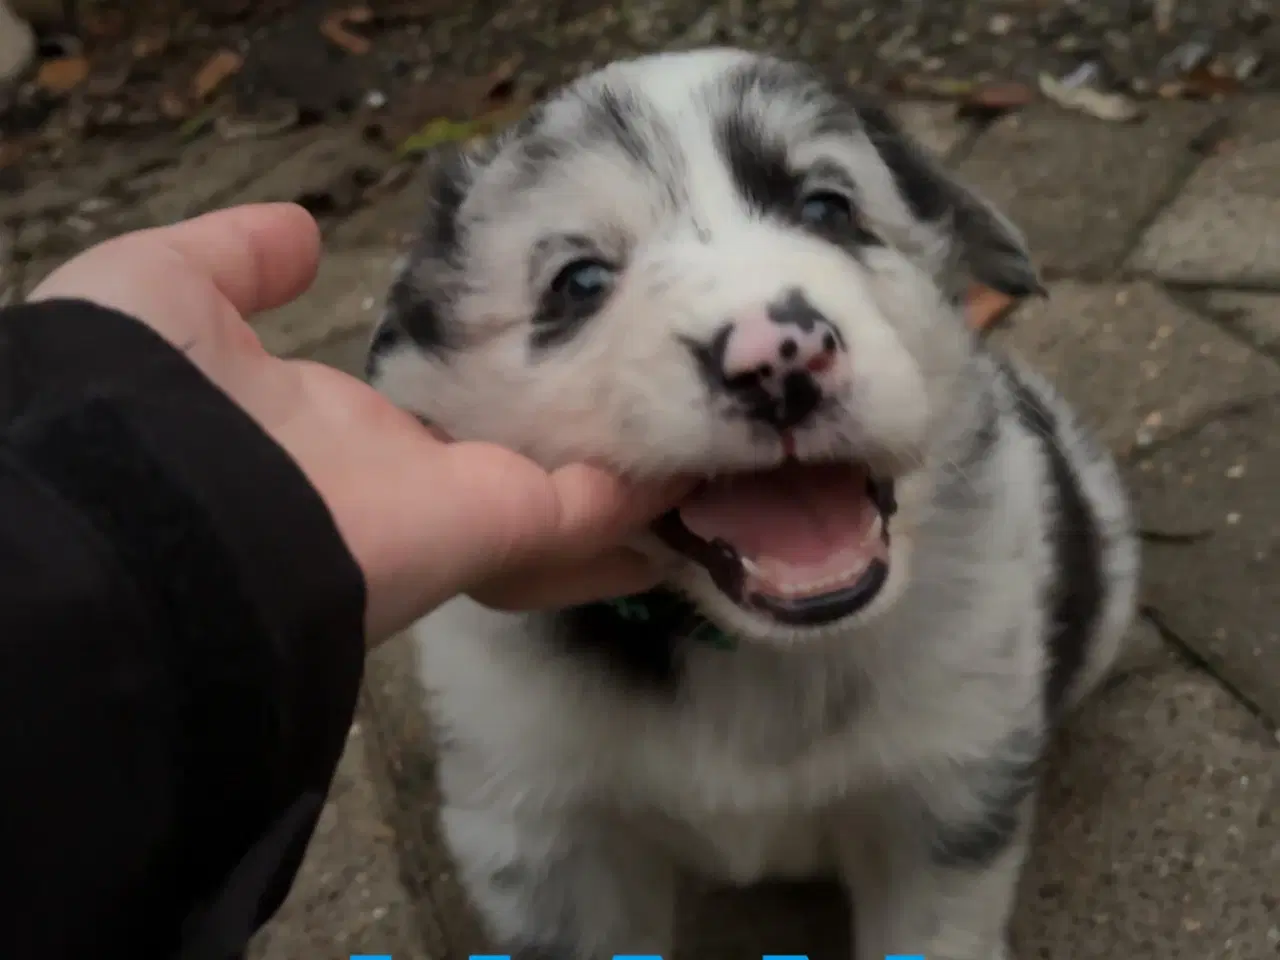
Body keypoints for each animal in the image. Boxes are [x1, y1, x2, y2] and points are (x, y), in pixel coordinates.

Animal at [363, 47, 1141, 960]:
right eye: (578, 282)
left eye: (828, 208)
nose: (778, 358)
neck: (745, 654)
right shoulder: (542, 833)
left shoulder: (949, 790)